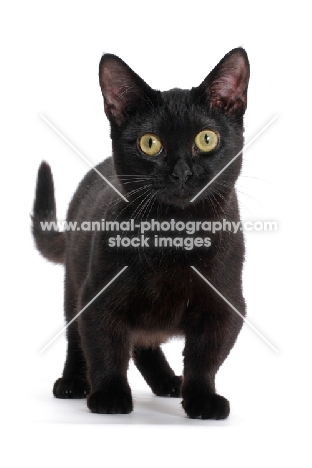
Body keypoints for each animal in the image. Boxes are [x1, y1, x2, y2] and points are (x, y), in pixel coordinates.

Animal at [33, 48, 250, 420]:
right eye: (150, 144)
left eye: (206, 139)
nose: (181, 172)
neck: (172, 236)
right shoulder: (98, 296)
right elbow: (104, 348)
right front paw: (109, 395)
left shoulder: (225, 304)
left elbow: (205, 358)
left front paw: (202, 398)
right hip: (74, 284)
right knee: (78, 339)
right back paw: (73, 381)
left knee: (143, 346)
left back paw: (167, 382)